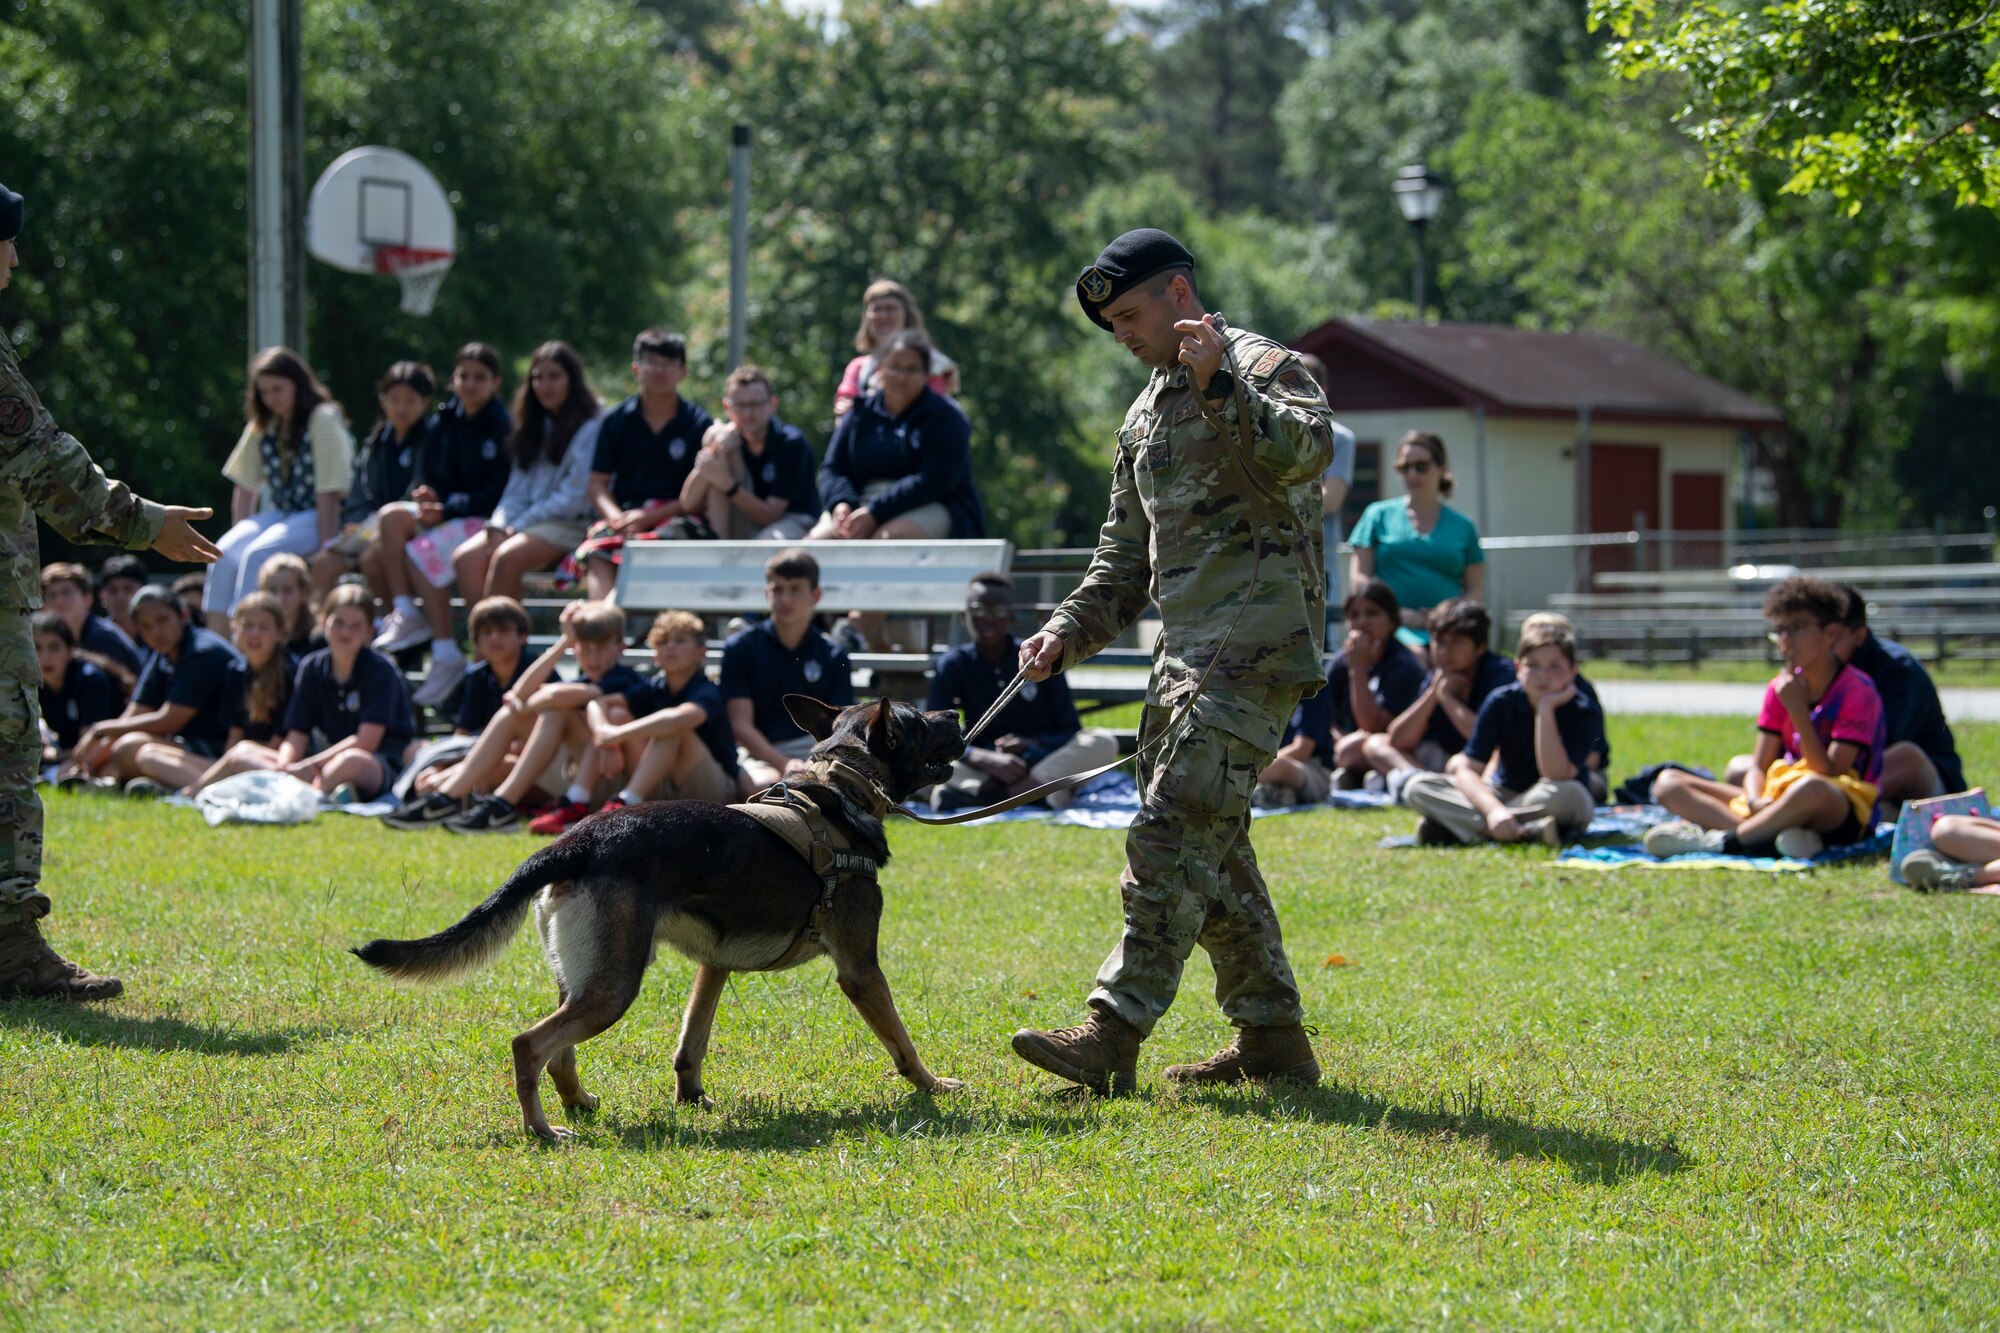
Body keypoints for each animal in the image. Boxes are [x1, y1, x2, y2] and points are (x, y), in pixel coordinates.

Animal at [358, 688, 968, 1136]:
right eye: (918, 721)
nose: (957, 711)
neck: (839, 786)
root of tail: (575, 843)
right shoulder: (859, 969)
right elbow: (901, 1040)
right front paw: (933, 1086)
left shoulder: (713, 965)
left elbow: (691, 1041)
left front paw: (692, 1097)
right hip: (613, 988)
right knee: (529, 1045)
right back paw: (542, 1130)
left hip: (585, 978)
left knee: (558, 1052)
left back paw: (578, 1103)